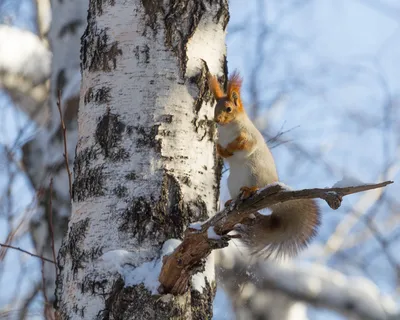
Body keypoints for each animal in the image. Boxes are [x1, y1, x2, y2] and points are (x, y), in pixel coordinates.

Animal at [208, 71, 320, 258]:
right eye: (215, 108)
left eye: (229, 109)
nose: (217, 120)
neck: (227, 130)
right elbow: (222, 152)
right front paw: (221, 148)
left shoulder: (250, 136)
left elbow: (245, 145)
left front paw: (232, 146)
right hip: (232, 182)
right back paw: (230, 201)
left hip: (255, 174)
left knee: (257, 186)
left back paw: (250, 190)